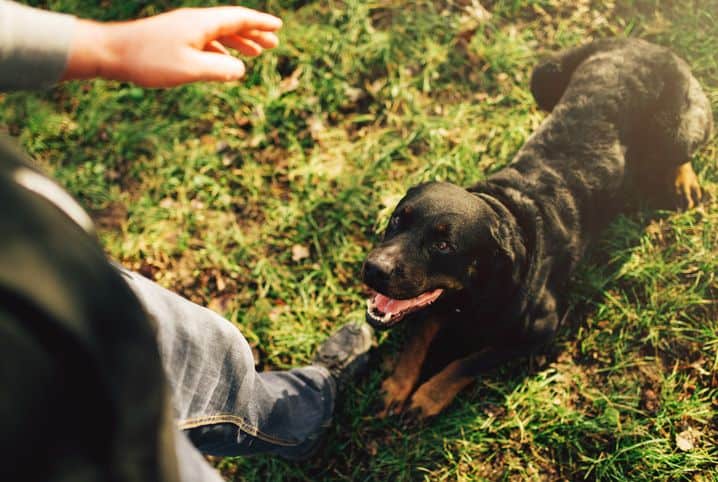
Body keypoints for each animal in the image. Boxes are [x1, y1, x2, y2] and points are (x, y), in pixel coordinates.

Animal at [362, 39, 712, 420]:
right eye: (398, 218)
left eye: (444, 245)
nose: (374, 268)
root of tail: (642, 43)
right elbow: (418, 336)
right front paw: (398, 386)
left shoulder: (541, 329)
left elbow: (470, 361)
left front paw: (428, 396)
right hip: (543, 76)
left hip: (677, 133)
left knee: (684, 149)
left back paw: (684, 181)